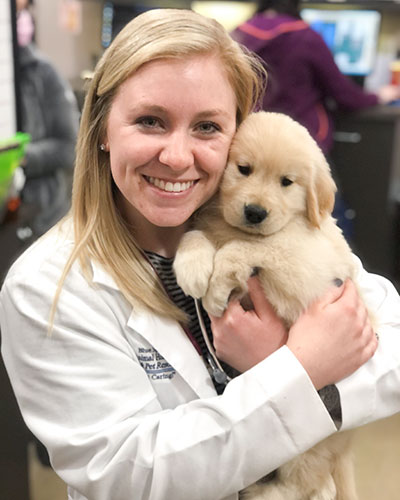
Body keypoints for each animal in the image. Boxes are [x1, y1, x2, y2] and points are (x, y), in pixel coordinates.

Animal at [173, 112, 364, 500]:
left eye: (287, 182)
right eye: (243, 169)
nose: (255, 212)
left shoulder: (306, 264)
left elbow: (258, 245)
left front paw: (217, 285)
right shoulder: (208, 223)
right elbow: (197, 234)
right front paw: (194, 267)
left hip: (308, 441)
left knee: (305, 481)